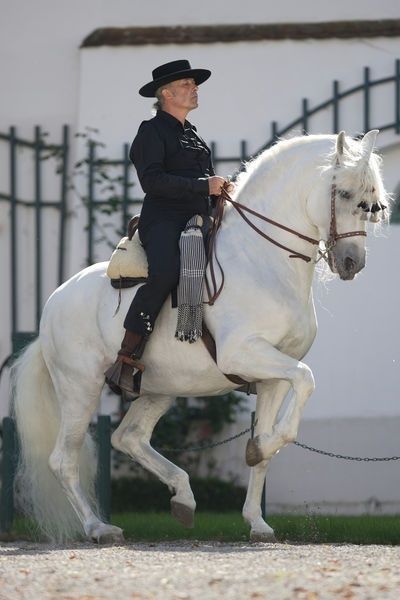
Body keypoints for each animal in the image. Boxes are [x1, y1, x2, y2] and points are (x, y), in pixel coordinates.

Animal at [11, 130, 388, 544]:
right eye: (344, 193)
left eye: (372, 203)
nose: (352, 263)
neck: (261, 261)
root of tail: (54, 303)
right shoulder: (243, 354)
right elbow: (305, 381)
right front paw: (260, 452)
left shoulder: (273, 373)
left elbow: (272, 436)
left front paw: (257, 518)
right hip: (80, 388)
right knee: (64, 459)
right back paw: (99, 527)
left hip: (159, 389)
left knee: (128, 437)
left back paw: (183, 498)